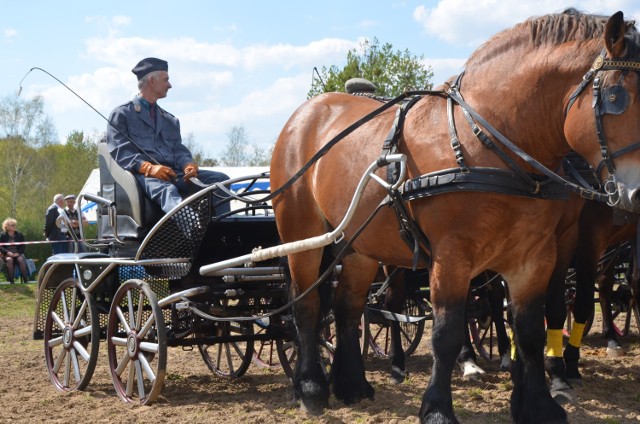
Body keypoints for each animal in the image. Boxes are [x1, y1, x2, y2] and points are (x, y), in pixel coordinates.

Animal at [268, 9, 640, 424]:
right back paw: (311, 388)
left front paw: (539, 404)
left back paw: (351, 386)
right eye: (615, 98)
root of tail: (305, 114)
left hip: (359, 246)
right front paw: (437, 408)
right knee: (307, 306)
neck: (488, 143)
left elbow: (530, 330)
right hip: (301, 234)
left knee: (346, 307)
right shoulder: (452, 257)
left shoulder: (534, 257)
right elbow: (446, 334)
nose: (638, 193)